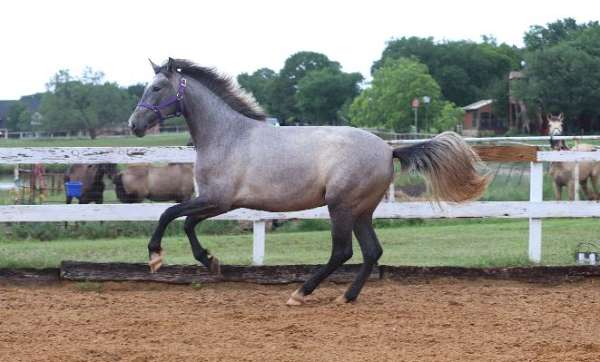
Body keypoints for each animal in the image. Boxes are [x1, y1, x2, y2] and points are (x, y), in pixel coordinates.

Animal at [126, 58, 488, 304]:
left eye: (157, 87)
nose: (134, 125)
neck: (227, 136)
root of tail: (389, 149)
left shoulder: (218, 199)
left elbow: (170, 214)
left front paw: (157, 257)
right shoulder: (219, 203)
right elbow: (186, 222)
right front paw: (211, 261)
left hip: (340, 206)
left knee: (342, 251)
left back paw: (302, 292)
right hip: (361, 211)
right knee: (372, 251)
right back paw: (346, 297)